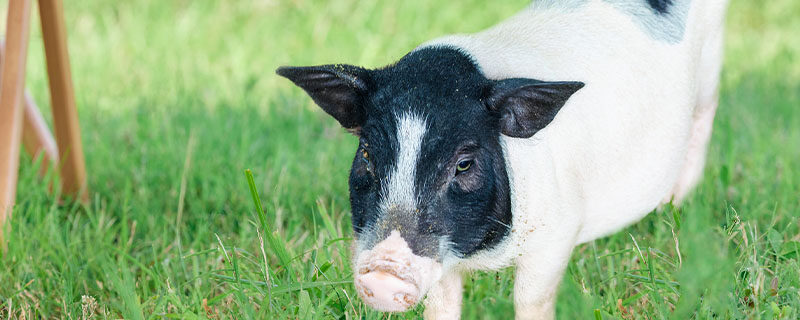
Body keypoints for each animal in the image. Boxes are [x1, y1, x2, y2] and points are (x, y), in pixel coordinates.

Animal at [278, 0, 728, 318]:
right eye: (368, 153)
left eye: (463, 163)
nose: (386, 272)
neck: (482, 255)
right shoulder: (442, 258)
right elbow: (442, 305)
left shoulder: (556, 232)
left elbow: (531, 301)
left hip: (711, 65)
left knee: (704, 118)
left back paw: (675, 206)